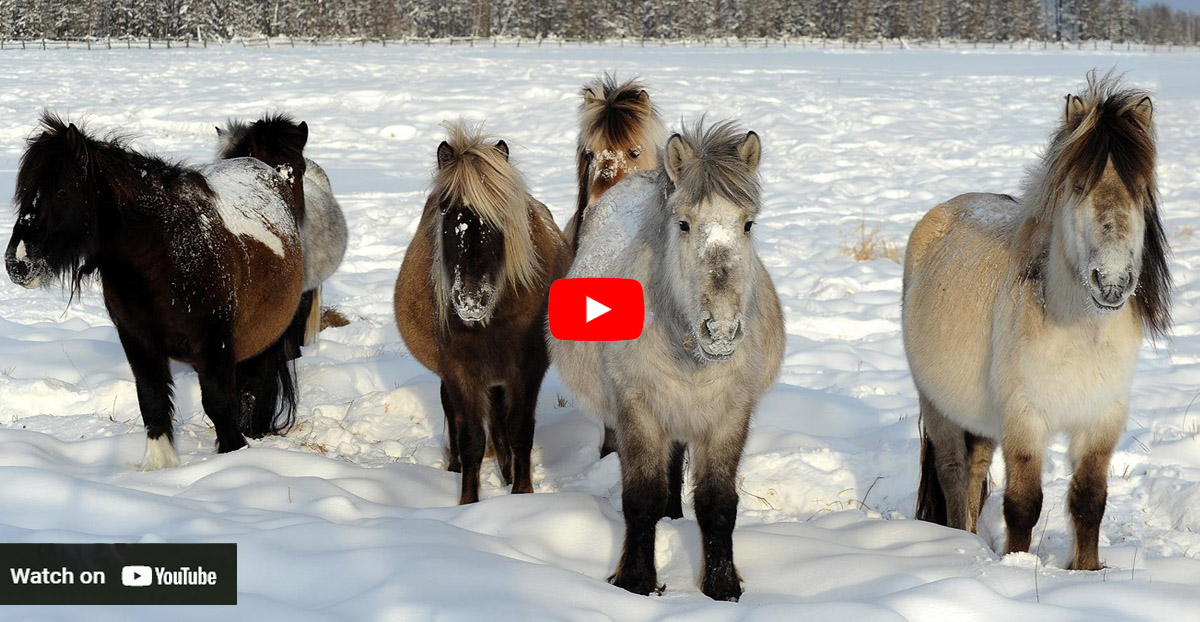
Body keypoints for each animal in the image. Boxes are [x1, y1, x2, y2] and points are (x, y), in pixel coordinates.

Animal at [5, 114, 304, 470]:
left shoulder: (214, 346)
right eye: (24, 191)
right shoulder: (137, 342)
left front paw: (233, 457)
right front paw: (160, 467)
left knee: (253, 388)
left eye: (62, 191)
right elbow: (153, 400)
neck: (167, 257)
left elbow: (219, 403)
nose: (16, 263)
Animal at [547, 119, 787, 602]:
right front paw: (636, 582)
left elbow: (718, 504)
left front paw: (722, 587)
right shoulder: (638, 410)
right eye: (684, 224)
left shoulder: (729, 415)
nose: (721, 330)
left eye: (748, 224)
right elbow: (641, 499)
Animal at [902, 72, 1166, 571]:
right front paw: (1017, 566)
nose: (1112, 282)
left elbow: (1089, 499)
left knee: (975, 469)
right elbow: (1024, 503)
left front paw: (1086, 570)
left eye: (1141, 189)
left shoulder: (1102, 419)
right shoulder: (1025, 418)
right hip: (937, 402)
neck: (1079, 334)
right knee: (952, 470)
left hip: (983, 417)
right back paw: (959, 541)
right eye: (1078, 186)